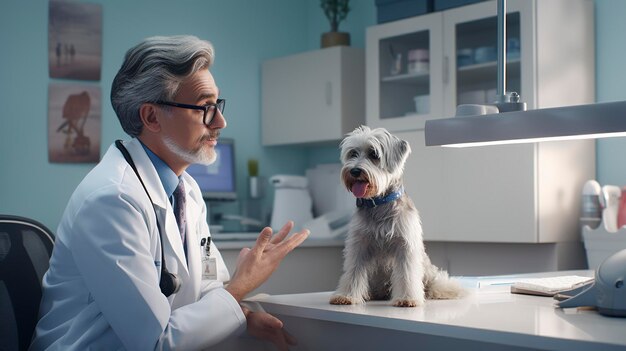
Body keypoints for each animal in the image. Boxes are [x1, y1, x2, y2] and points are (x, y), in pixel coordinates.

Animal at [326, 126, 464, 308]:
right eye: (353, 153)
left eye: (374, 154)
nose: (354, 171)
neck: (378, 204)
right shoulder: (359, 245)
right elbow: (353, 272)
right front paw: (346, 296)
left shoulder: (404, 246)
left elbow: (406, 275)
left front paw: (407, 298)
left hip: (432, 275)